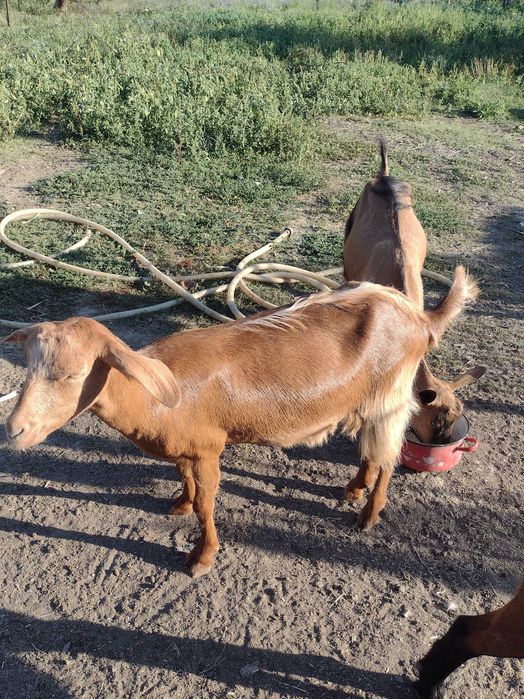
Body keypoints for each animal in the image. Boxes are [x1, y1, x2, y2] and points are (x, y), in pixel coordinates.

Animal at [2, 271, 477, 577]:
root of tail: (419, 316)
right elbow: (184, 480)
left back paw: (369, 514)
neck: (154, 397)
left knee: (388, 456)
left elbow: (208, 503)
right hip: (366, 400)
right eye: (26, 369)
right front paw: (179, 504)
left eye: (72, 375)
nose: (15, 431)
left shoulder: (209, 447)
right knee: (370, 449)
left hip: (391, 396)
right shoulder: (188, 445)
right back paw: (353, 488)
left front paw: (201, 557)